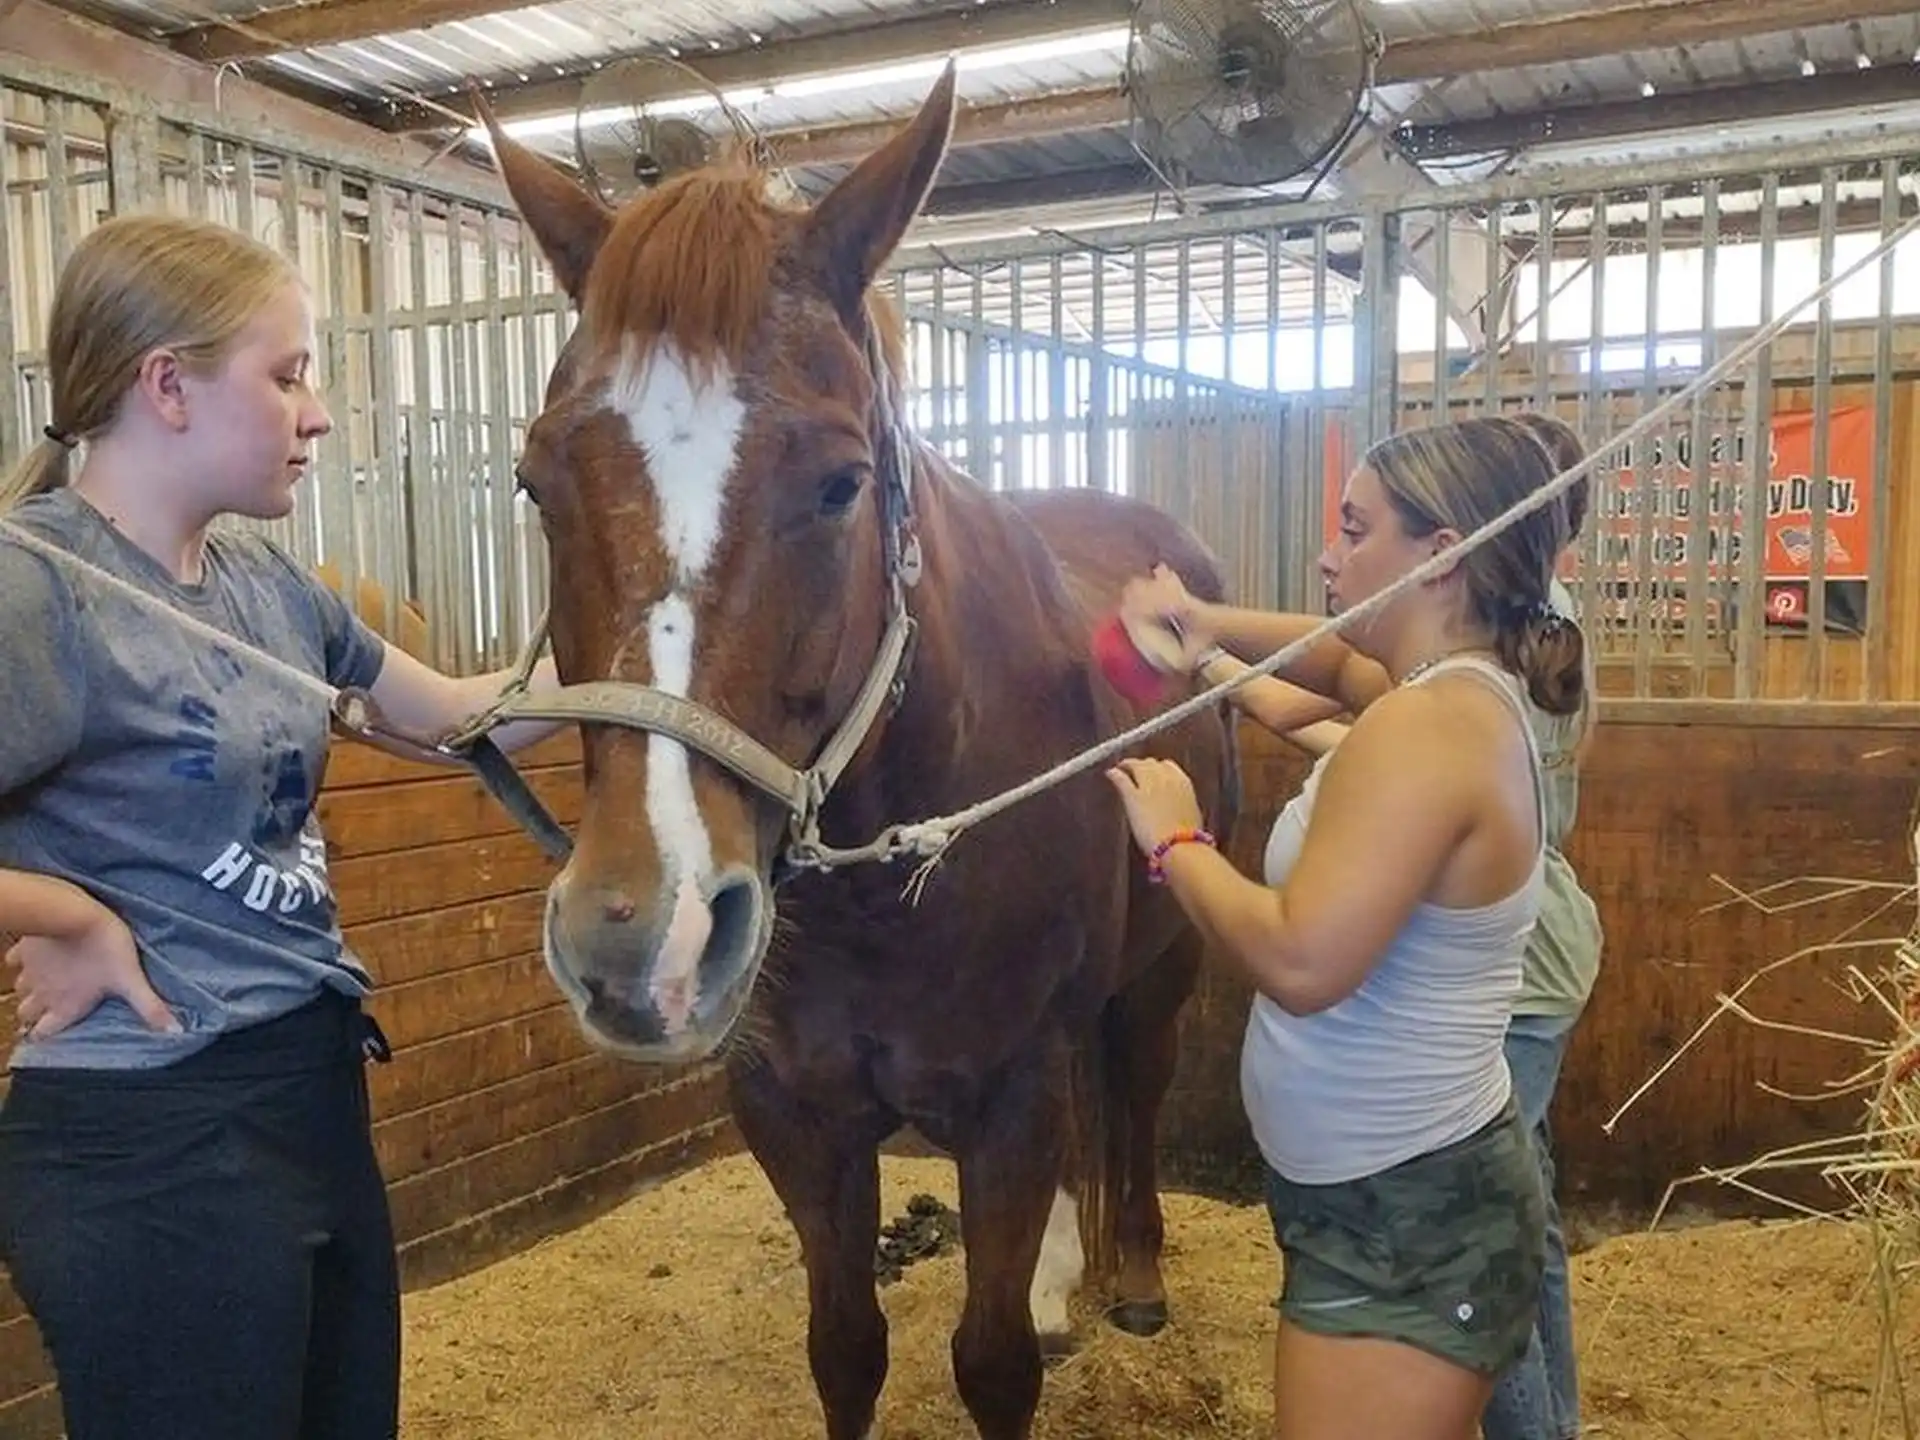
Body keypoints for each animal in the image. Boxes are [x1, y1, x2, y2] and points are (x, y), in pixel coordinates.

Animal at [469, 64, 1242, 1440]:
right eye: (534, 482)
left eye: (838, 484)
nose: (638, 937)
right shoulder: (797, 1113)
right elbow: (844, 1347)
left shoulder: (1007, 1103)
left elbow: (992, 1360)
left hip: (1163, 969)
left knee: (1136, 1093)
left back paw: (1136, 1281)